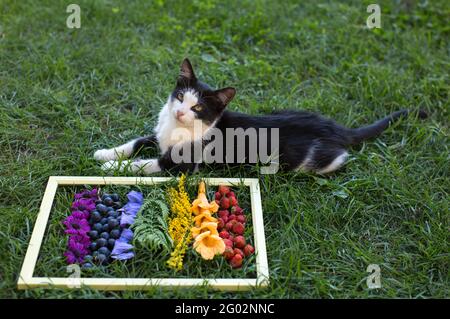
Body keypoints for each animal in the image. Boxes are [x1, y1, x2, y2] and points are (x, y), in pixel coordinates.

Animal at [94, 59, 426, 175]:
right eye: (180, 97)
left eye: (198, 108)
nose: (178, 111)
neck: (176, 128)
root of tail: (336, 128)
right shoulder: (159, 134)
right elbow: (138, 141)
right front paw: (106, 153)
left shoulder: (183, 163)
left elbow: (148, 163)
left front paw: (113, 167)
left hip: (308, 162)